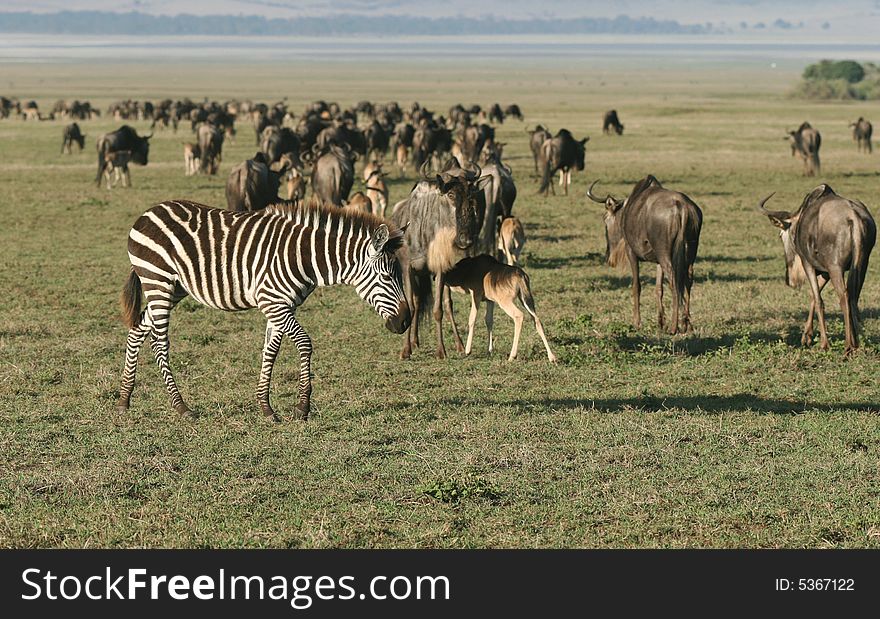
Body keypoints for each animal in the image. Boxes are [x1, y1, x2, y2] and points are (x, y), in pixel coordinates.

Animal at [116, 199, 412, 422]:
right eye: (387, 277)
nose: (405, 322)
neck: (305, 258)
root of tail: (149, 212)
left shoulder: (280, 306)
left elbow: (271, 351)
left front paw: (266, 408)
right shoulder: (273, 302)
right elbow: (305, 343)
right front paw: (302, 408)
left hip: (174, 287)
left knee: (138, 329)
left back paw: (124, 398)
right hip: (159, 281)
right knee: (159, 342)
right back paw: (181, 406)